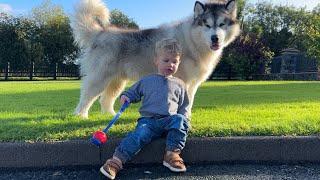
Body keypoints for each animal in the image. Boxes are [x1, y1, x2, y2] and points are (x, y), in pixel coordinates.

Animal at [71, 0, 239, 118]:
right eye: (207, 25)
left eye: (222, 24)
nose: (215, 38)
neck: (192, 40)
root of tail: (100, 32)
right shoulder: (183, 80)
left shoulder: (192, 84)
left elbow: (189, 102)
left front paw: (187, 116)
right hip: (100, 78)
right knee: (86, 96)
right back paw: (80, 116)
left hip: (117, 81)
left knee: (105, 99)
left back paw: (109, 116)